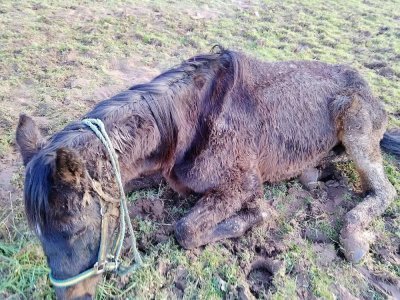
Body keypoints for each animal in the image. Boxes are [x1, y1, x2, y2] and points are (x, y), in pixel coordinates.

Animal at [15, 48, 400, 298]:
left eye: (79, 228)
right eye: (37, 233)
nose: (72, 296)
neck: (190, 120)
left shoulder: (239, 185)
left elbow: (187, 230)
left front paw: (255, 216)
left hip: (355, 128)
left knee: (381, 190)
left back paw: (353, 238)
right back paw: (314, 172)